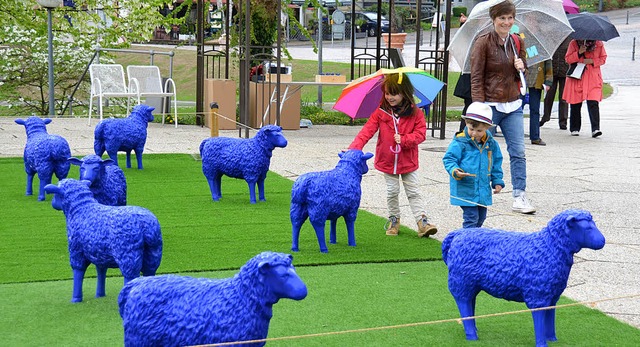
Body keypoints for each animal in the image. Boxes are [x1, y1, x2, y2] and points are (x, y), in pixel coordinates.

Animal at [117, 253, 308, 347]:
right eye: (283, 275)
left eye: (295, 269)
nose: (304, 291)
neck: (241, 297)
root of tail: (134, 284)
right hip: (139, 340)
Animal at [442, 209, 608, 347]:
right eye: (587, 228)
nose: (603, 241)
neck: (549, 248)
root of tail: (457, 234)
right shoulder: (537, 294)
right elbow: (540, 319)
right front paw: (541, 343)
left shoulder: (552, 295)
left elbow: (550, 317)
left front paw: (552, 339)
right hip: (461, 280)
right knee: (463, 303)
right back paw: (472, 335)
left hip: (471, 283)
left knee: (470, 302)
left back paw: (474, 328)